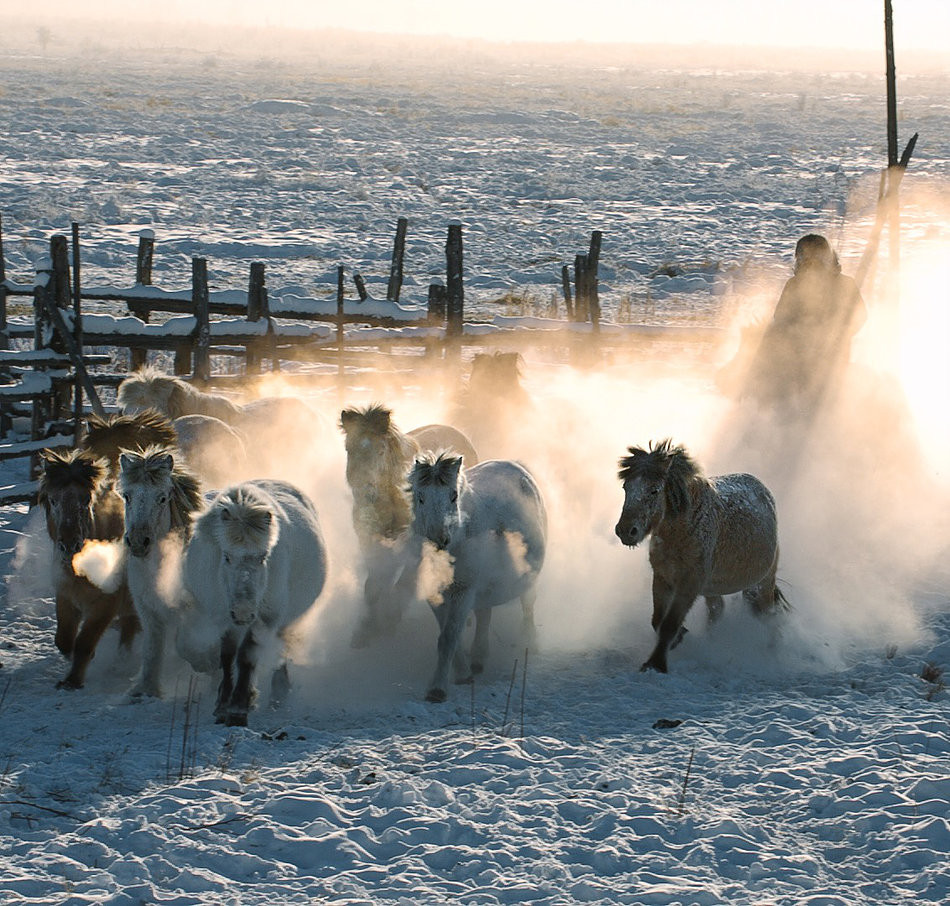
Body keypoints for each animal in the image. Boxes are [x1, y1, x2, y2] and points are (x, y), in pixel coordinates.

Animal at [38, 448, 139, 688]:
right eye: (53, 500)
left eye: (86, 499)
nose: (69, 544)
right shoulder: (66, 597)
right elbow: (64, 640)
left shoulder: (105, 605)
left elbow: (84, 643)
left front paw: (72, 681)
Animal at [119, 444, 205, 700]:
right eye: (126, 496)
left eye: (162, 498)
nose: (139, 543)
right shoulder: (147, 609)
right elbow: (152, 649)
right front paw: (145, 688)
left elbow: (184, 643)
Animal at [183, 480, 330, 728]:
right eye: (227, 556)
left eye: (263, 557)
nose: (243, 612)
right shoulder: (224, 616)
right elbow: (227, 656)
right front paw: (222, 704)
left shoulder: (267, 616)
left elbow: (247, 655)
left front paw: (239, 708)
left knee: (279, 646)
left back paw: (279, 693)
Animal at [406, 456, 548, 704]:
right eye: (420, 496)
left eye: (453, 495)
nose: (439, 540)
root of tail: (514, 465)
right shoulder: (436, 595)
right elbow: (449, 636)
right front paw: (462, 672)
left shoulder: (463, 592)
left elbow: (448, 638)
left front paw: (437, 688)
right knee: (484, 615)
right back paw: (478, 658)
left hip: (529, 578)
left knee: (528, 607)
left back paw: (530, 642)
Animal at [616, 438, 788, 672]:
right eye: (626, 487)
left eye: (654, 490)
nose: (626, 531)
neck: (684, 529)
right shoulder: (662, 579)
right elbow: (658, 621)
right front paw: (678, 639)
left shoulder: (689, 584)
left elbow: (669, 624)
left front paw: (655, 664)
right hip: (714, 589)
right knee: (717, 612)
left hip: (762, 584)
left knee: (767, 616)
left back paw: (771, 653)